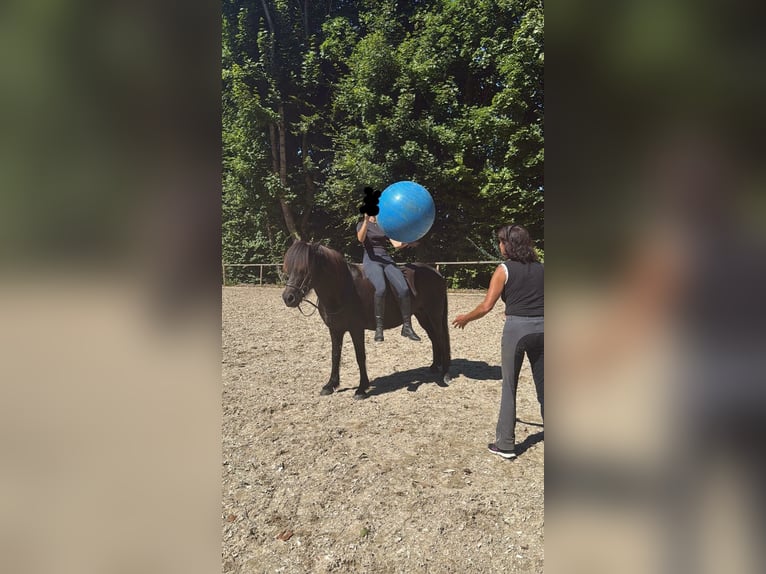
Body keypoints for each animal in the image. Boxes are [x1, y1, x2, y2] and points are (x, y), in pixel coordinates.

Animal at [281, 241, 451, 399]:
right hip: (422, 315)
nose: (288, 298)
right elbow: (335, 355)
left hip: (434, 314)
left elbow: (360, 356)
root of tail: (435, 273)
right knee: (434, 338)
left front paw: (361, 389)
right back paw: (435, 366)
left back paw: (445, 374)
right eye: (289, 268)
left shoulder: (356, 329)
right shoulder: (335, 330)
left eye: (305, 269)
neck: (344, 289)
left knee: (441, 338)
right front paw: (330, 385)